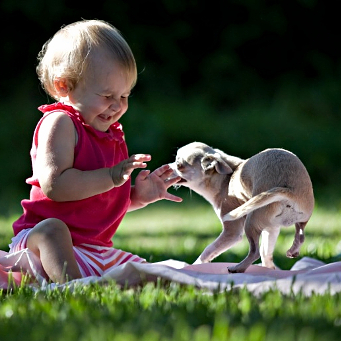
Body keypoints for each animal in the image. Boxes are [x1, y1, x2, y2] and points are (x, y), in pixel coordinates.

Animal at [167, 140, 314, 270]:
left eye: (178, 165)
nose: (167, 167)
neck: (225, 179)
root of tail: (290, 192)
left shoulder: (232, 232)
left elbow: (209, 249)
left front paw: (196, 264)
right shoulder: (272, 228)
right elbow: (266, 253)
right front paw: (269, 268)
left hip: (251, 221)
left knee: (255, 252)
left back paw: (238, 268)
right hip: (295, 219)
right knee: (299, 235)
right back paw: (292, 250)